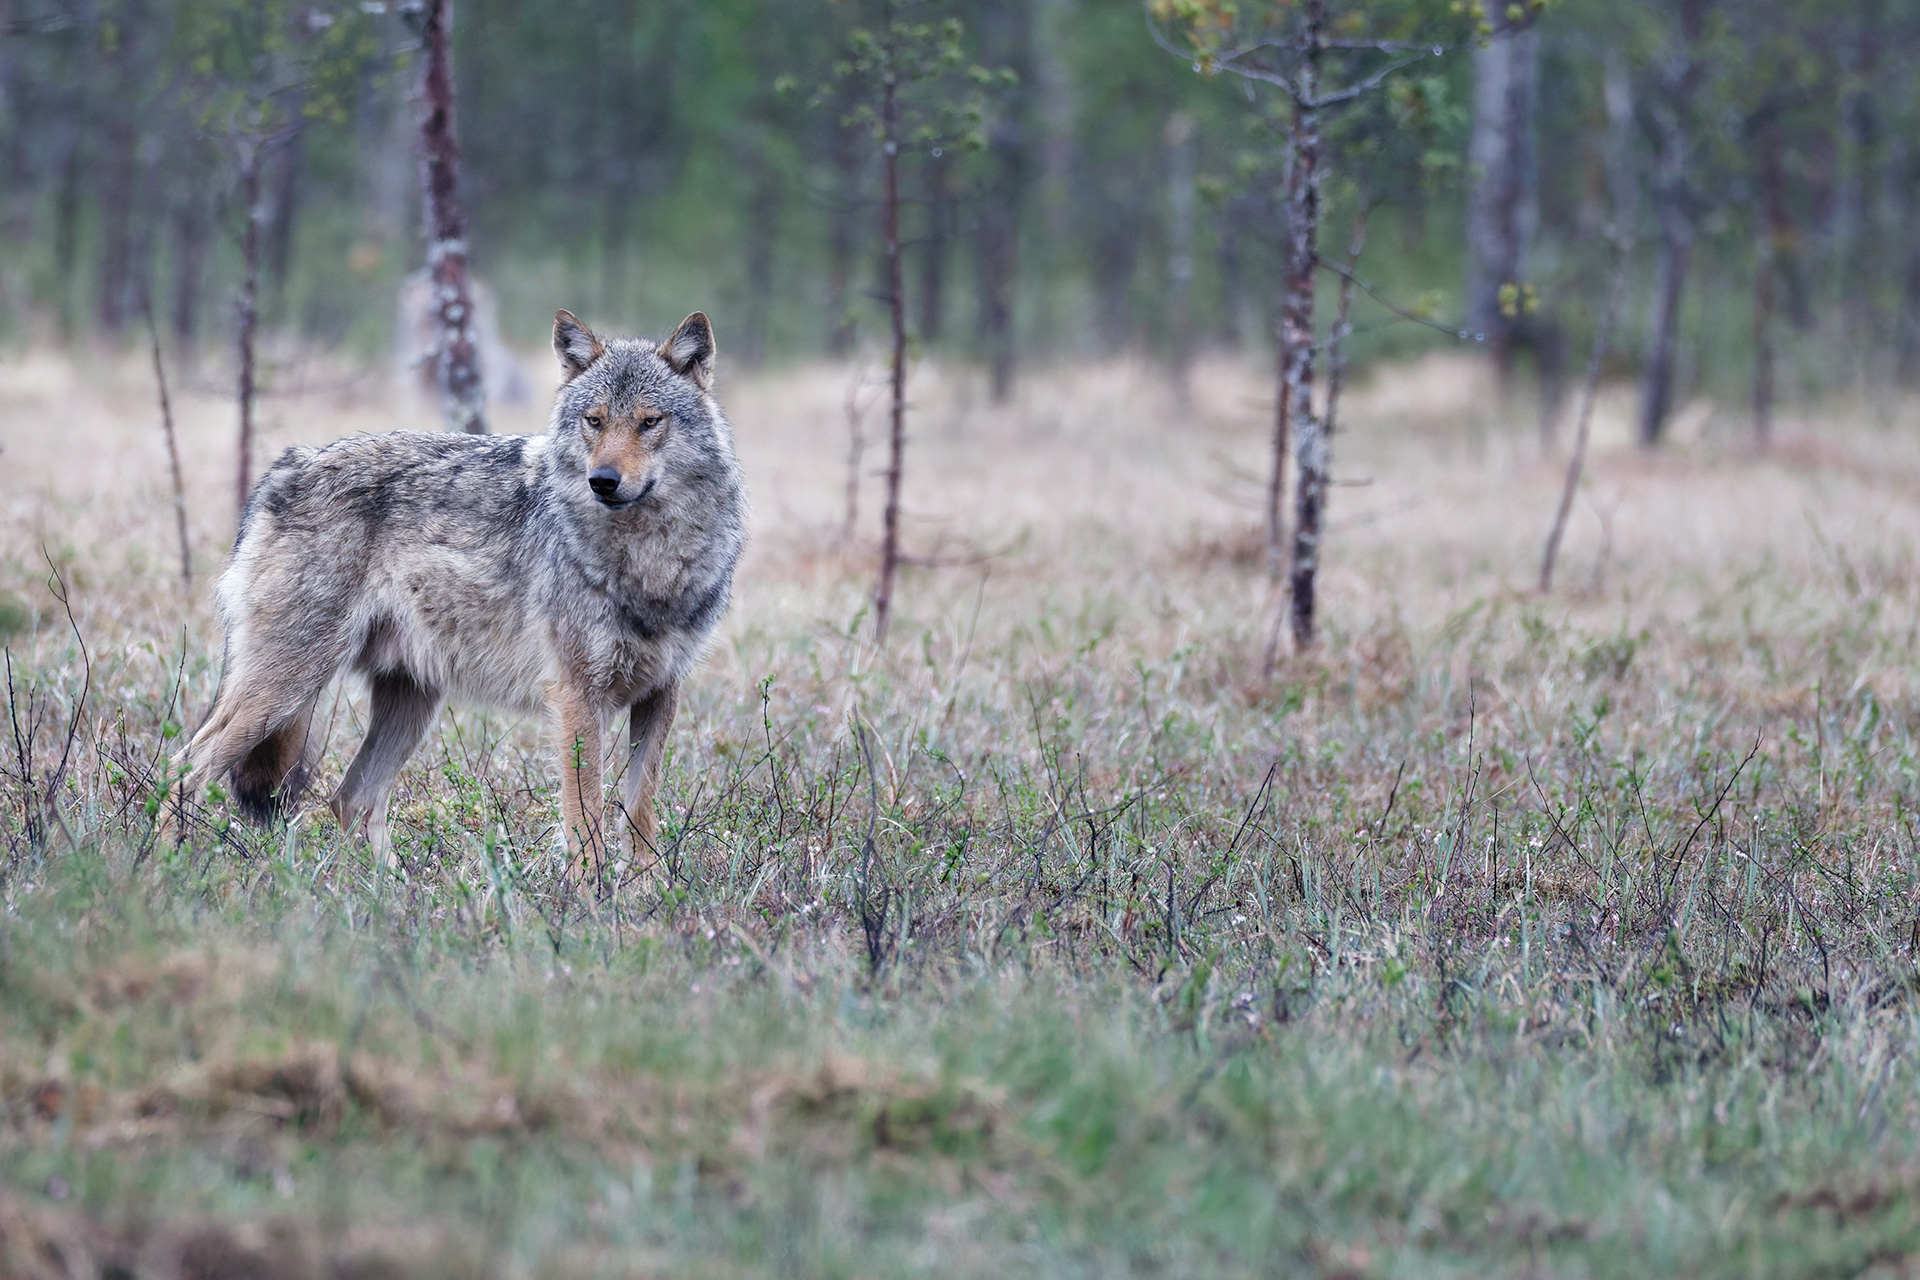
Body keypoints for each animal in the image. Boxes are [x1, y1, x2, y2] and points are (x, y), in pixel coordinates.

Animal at [170, 310, 746, 882]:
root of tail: (286, 466)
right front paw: (590, 899)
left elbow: (640, 814)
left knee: (350, 798)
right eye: (595, 421)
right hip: (284, 691)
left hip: (408, 702)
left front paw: (646, 894)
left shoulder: (660, 694)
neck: (650, 564)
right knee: (182, 770)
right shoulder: (578, 698)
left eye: (650, 422)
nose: (602, 480)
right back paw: (164, 869)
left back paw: (398, 893)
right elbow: (586, 825)